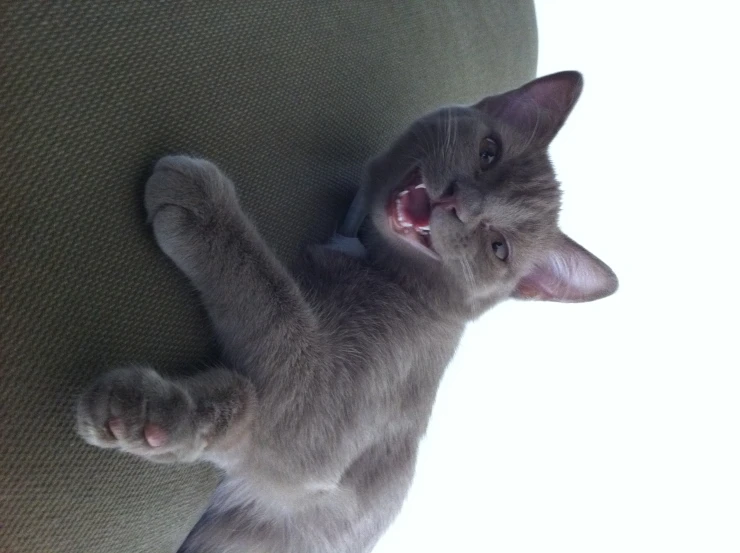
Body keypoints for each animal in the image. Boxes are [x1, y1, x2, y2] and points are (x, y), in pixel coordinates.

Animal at [76, 72, 620, 552]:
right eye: (489, 152)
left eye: (499, 248)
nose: (460, 202)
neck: (382, 269)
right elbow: (245, 392)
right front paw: (146, 418)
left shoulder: (323, 428)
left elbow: (277, 317)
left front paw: (201, 204)